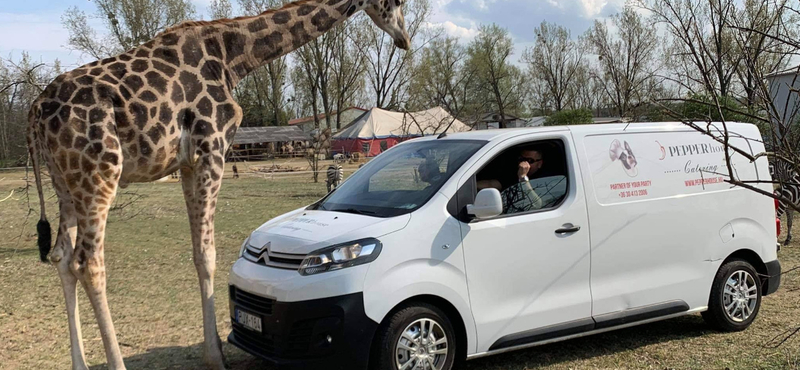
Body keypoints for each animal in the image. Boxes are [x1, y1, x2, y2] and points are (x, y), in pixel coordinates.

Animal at [27, 0, 410, 370]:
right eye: (398, 2)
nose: (404, 39)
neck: (233, 57)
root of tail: (36, 111)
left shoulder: (185, 163)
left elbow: (198, 252)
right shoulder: (211, 149)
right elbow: (208, 255)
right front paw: (215, 356)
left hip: (65, 183)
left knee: (61, 257)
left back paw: (80, 364)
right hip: (100, 171)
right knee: (88, 262)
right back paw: (116, 363)